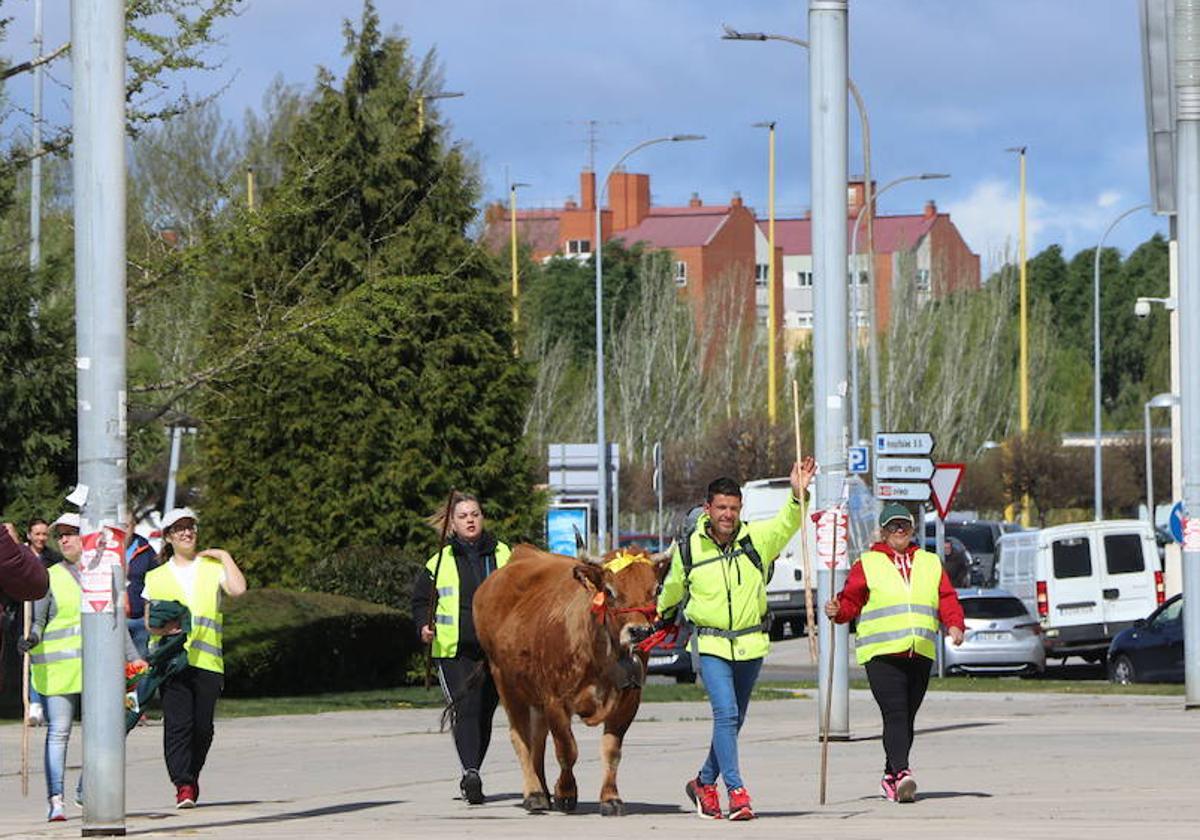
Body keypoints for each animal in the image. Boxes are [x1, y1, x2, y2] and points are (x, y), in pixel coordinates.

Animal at [472, 544, 672, 816]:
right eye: (609, 591)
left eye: (656, 590)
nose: (639, 631)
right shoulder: (555, 700)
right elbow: (567, 750)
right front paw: (566, 793)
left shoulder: (629, 700)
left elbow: (612, 750)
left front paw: (610, 798)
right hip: (506, 683)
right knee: (520, 737)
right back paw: (534, 793)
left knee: (537, 741)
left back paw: (543, 790)